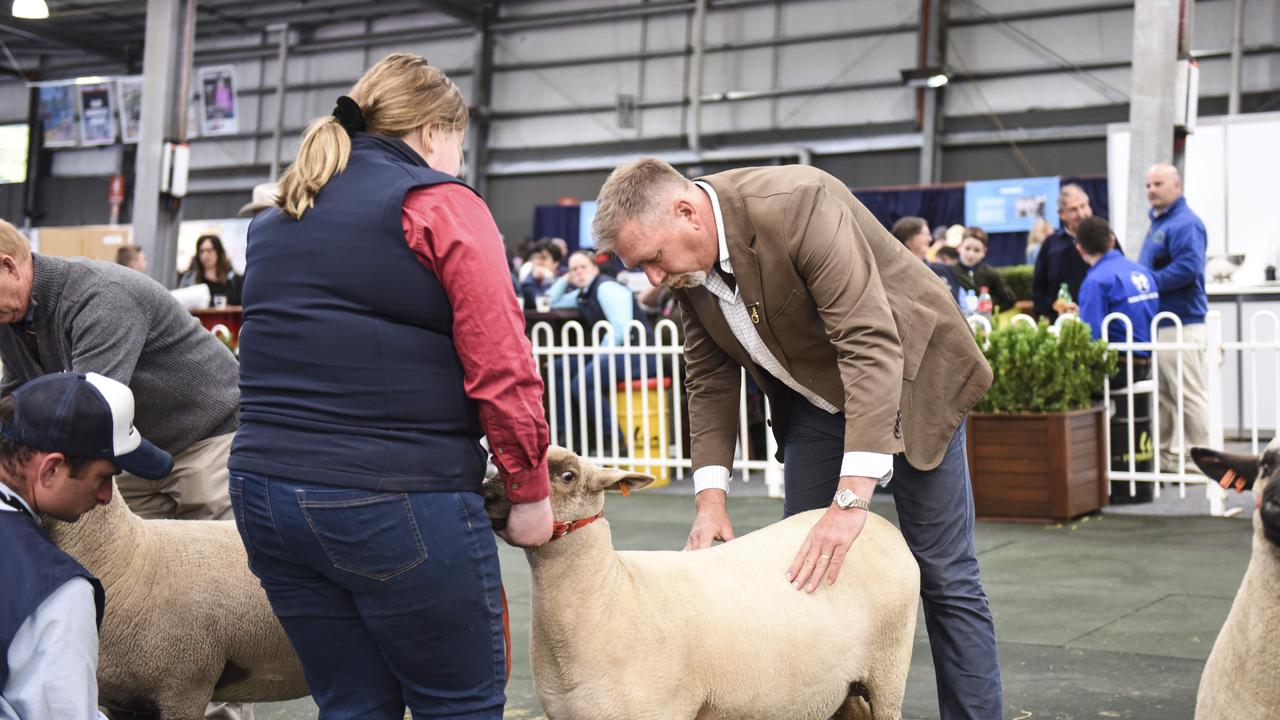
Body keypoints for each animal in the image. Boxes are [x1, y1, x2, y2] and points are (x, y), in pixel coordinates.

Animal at [483, 445, 916, 712]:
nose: (486, 494)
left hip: (888, 670)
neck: (612, 591)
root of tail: (879, 525)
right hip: (838, 686)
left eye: (568, 475)